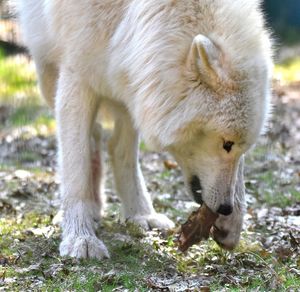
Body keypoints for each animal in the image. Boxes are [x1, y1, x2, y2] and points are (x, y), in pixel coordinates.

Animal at [17, 0, 274, 258]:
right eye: (226, 144)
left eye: (239, 147)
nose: (226, 208)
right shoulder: (77, 72)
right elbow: (76, 167)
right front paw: (80, 237)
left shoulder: (132, 74)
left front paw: (233, 222)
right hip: (48, 72)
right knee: (90, 139)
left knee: (114, 146)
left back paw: (141, 213)